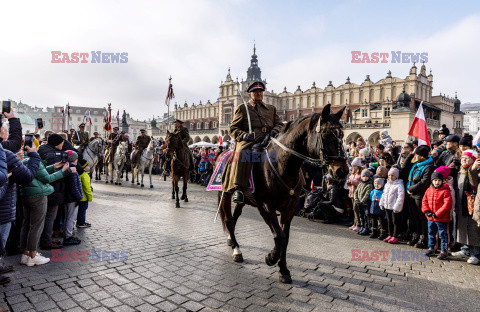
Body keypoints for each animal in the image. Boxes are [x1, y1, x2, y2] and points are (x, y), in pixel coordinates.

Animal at [218, 104, 348, 282]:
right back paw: (236, 250)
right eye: (326, 134)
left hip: (244, 199)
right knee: (229, 220)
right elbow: (279, 236)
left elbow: (285, 238)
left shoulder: (290, 208)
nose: (341, 171)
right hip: (226, 193)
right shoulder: (265, 206)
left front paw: (283, 270)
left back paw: (232, 241)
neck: (282, 164)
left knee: (235, 217)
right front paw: (271, 258)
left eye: (342, 135)